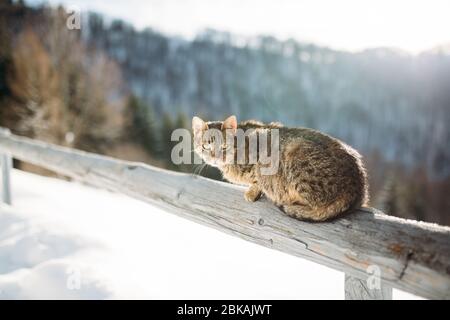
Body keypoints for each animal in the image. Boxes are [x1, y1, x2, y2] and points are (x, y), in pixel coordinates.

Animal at [192, 115, 368, 222]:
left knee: (317, 206)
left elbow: (258, 178)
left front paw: (253, 191)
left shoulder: (262, 157)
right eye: (206, 147)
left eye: (224, 146)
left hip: (296, 153)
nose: (215, 157)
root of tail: (358, 187)